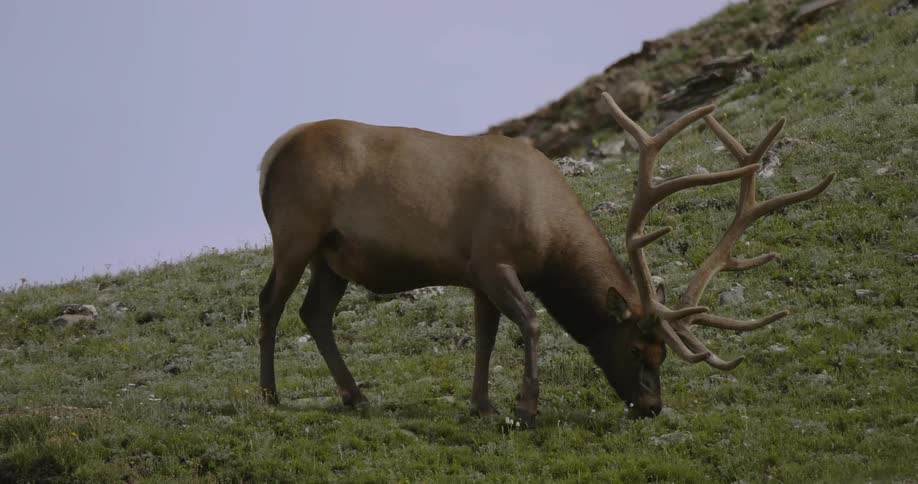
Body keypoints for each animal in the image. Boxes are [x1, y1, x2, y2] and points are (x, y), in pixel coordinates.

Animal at [256, 91, 833, 427]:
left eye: (663, 354)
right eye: (634, 350)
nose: (651, 407)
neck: (549, 238)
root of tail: (269, 154)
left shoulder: (476, 275)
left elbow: (486, 337)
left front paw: (483, 405)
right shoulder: (493, 261)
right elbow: (531, 324)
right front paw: (525, 408)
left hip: (332, 257)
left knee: (314, 312)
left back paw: (355, 396)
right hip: (295, 234)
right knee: (270, 303)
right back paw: (270, 394)